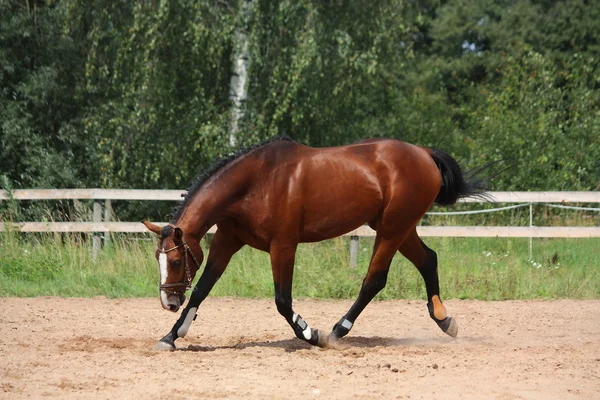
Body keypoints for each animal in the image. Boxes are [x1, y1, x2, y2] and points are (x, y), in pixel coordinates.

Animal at [144, 138, 488, 350]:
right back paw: (445, 321)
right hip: (398, 228)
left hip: (393, 229)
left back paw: (337, 331)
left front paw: (311, 333)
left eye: (175, 261)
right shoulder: (227, 241)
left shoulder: (283, 245)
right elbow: (201, 290)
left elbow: (283, 301)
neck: (256, 182)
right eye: (159, 259)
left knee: (374, 279)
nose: (167, 303)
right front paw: (171, 336)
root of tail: (424, 152)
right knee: (428, 259)